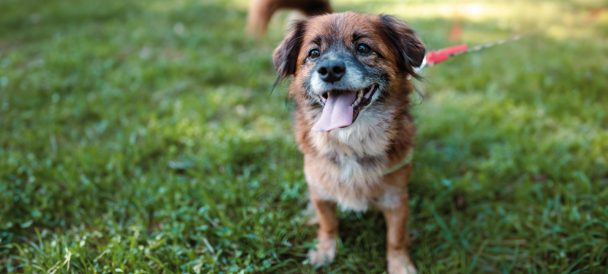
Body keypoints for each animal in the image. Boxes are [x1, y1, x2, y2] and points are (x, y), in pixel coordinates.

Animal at [274, 12, 426, 274]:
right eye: (314, 53)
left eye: (363, 48)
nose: (329, 70)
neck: (350, 141)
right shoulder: (320, 191)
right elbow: (328, 225)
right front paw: (324, 251)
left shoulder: (396, 197)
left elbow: (395, 238)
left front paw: (400, 264)